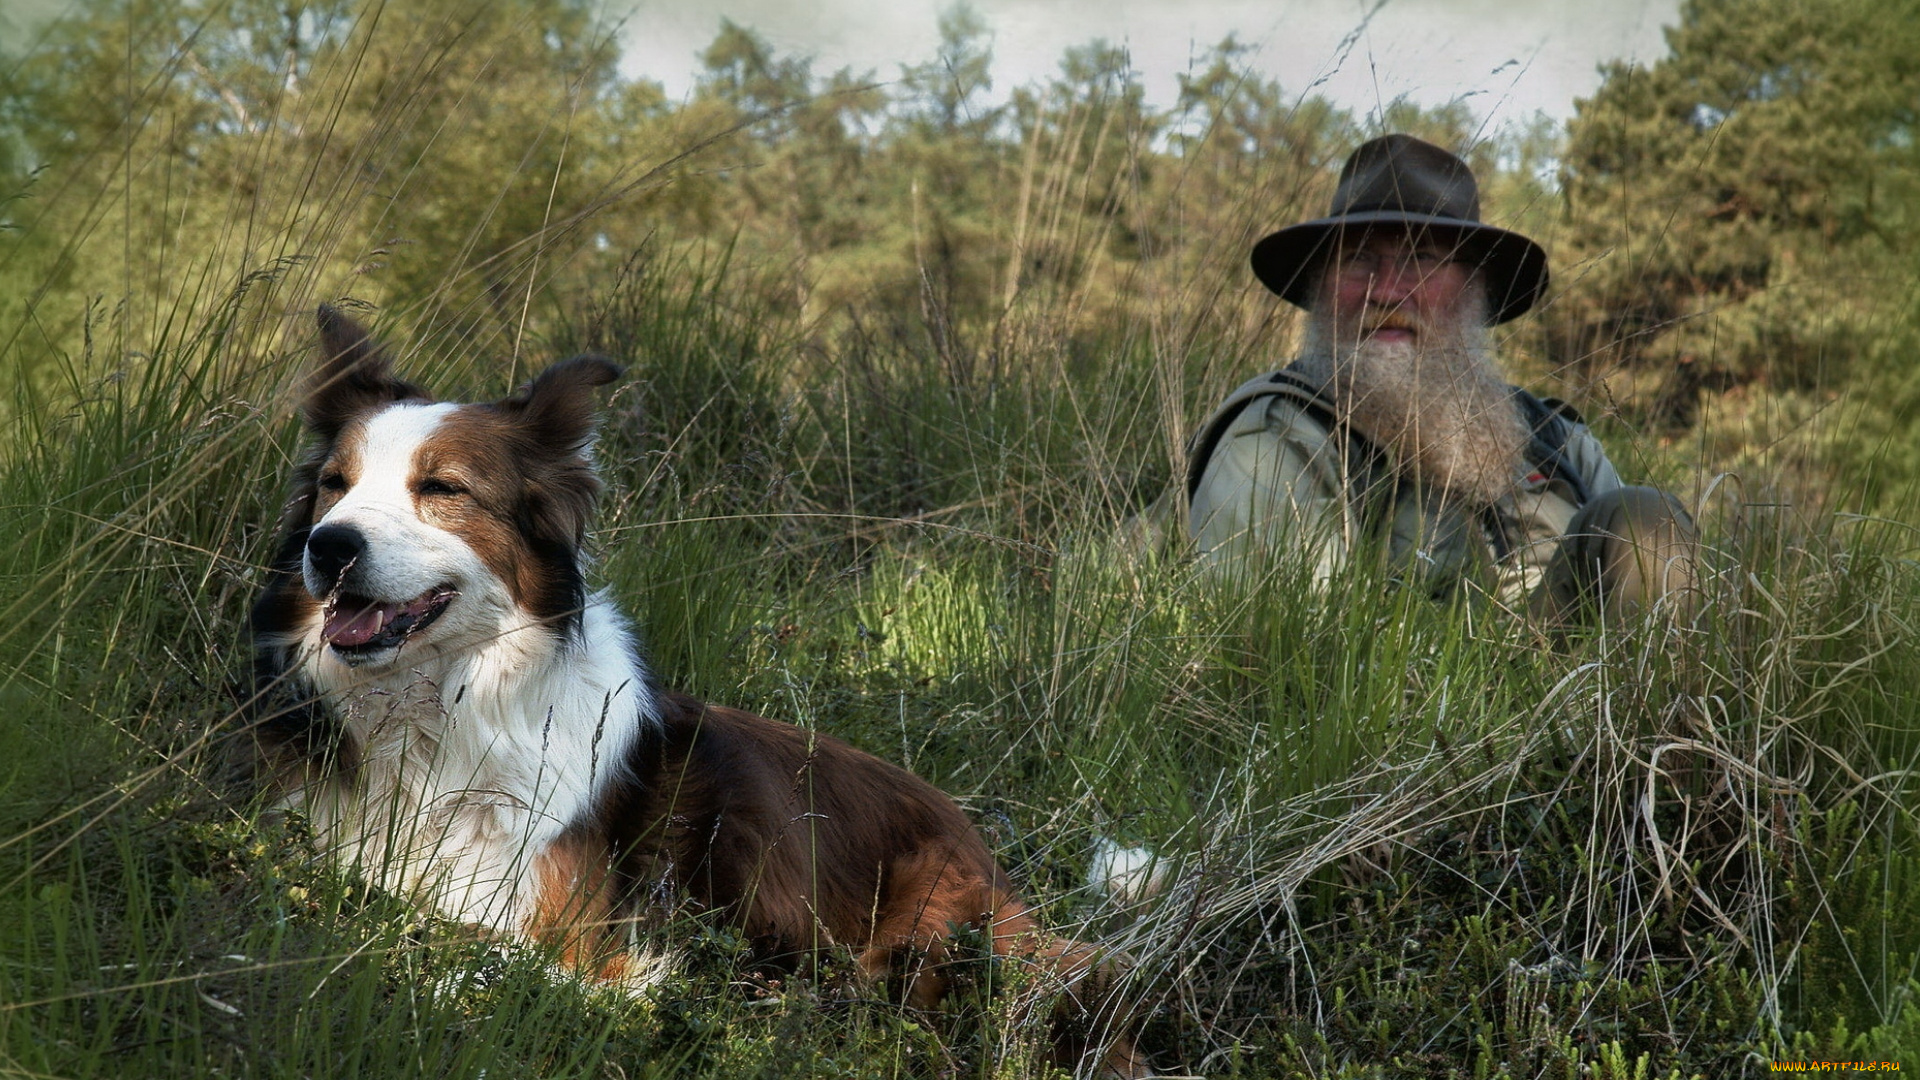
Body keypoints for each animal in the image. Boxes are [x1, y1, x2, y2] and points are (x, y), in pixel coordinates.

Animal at [240, 307, 1136, 1068]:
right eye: (335, 483)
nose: (329, 547)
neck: (431, 719)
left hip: (929, 940)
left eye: (443, 489)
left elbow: (454, 963)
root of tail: (980, 842)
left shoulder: (589, 951)